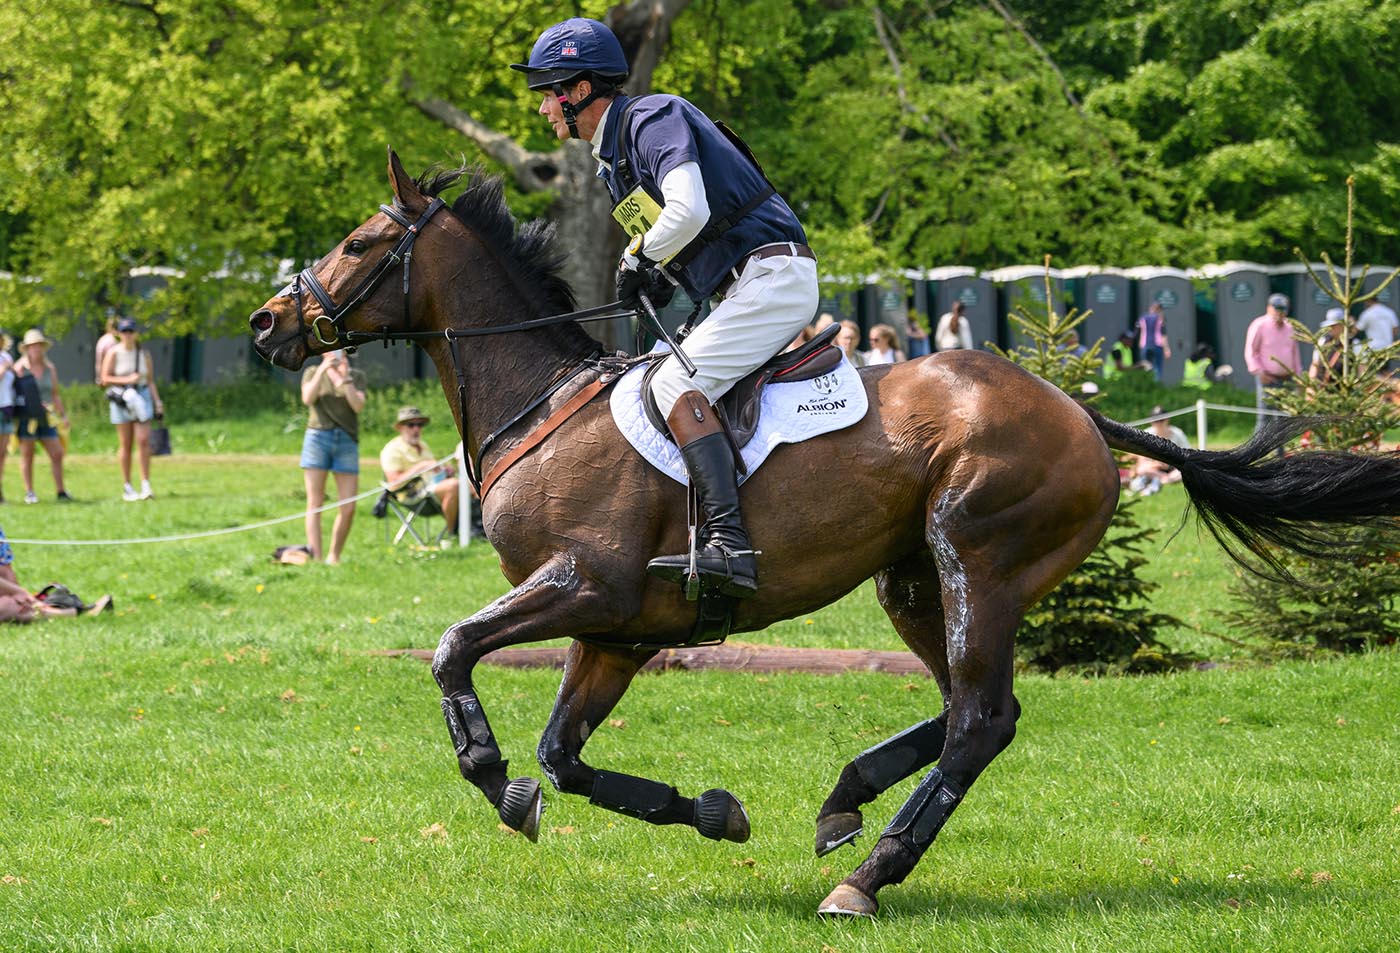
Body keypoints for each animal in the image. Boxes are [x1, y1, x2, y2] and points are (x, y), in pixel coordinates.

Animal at [250, 149, 1400, 918]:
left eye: (360, 243)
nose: (266, 323)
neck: (543, 406)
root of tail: (1080, 412)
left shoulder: (584, 585)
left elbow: (455, 656)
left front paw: (497, 784)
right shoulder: (615, 630)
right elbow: (566, 756)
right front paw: (712, 810)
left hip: (975, 551)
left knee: (980, 716)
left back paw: (865, 876)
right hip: (912, 578)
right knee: (973, 708)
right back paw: (845, 801)